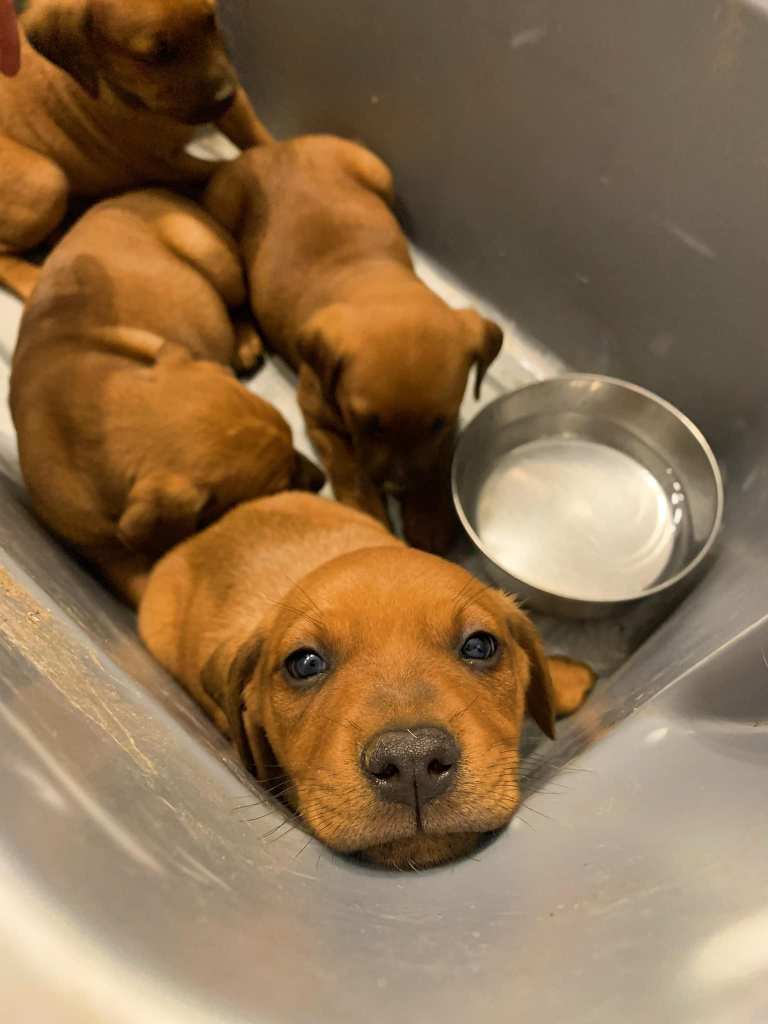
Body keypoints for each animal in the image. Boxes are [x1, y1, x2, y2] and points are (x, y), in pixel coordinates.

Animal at [0, 0, 272, 299]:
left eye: (210, 21)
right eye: (157, 55)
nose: (225, 96)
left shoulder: (230, 107)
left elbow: (257, 135)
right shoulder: (166, 162)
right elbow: (229, 164)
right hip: (46, 179)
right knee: (4, 255)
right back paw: (35, 281)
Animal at [204, 137, 505, 557]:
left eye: (437, 423)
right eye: (366, 423)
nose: (397, 486)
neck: (374, 279)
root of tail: (275, 146)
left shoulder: (448, 422)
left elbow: (439, 459)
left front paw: (429, 515)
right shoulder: (317, 413)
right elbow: (349, 464)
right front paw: (368, 511)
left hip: (380, 174)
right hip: (222, 216)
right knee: (238, 294)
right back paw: (246, 339)